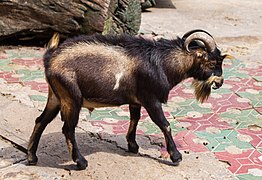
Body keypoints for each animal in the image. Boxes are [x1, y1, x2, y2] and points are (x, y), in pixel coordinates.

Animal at [27, 29, 231, 169]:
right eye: (212, 63)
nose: (220, 82)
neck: (163, 63)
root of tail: (50, 59)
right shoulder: (151, 98)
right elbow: (164, 124)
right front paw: (176, 156)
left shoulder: (136, 100)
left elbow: (135, 118)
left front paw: (133, 146)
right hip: (71, 98)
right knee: (67, 129)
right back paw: (81, 162)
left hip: (55, 96)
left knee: (41, 120)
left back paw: (32, 157)